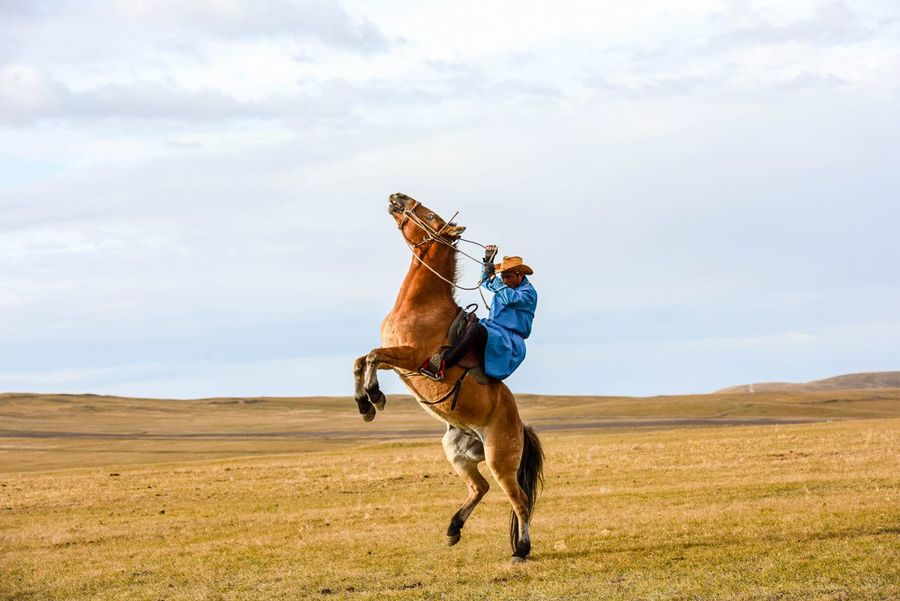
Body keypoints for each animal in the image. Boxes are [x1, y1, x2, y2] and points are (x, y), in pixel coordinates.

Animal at [354, 193, 544, 564]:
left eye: (430, 215)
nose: (397, 197)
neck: (422, 305)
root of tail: (520, 426)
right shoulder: (397, 361)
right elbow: (360, 359)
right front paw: (365, 404)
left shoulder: (411, 357)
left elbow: (371, 355)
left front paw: (375, 397)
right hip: (458, 453)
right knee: (480, 487)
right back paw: (453, 529)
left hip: (500, 460)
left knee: (519, 502)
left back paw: (521, 551)